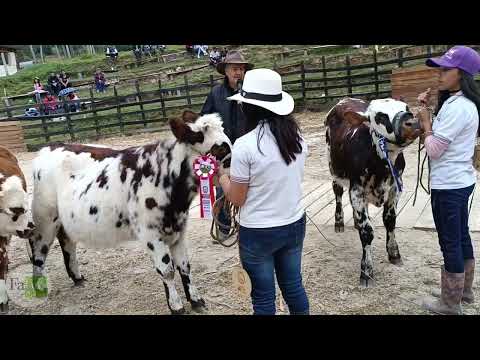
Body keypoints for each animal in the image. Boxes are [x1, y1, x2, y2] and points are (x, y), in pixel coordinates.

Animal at [28, 111, 232, 314]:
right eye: (220, 150)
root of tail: (49, 147)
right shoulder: (149, 233)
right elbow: (167, 270)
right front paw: (176, 305)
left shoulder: (179, 230)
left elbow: (185, 266)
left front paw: (196, 299)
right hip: (45, 218)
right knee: (38, 249)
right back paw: (39, 287)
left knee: (67, 241)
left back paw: (77, 277)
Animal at [326, 97, 420, 286]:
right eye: (380, 116)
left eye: (407, 108)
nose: (411, 122)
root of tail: (346, 99)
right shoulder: (356, 190)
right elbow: (367, 232)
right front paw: (366, 271)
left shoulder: (395, 187)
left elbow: (390, 221)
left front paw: (394, 253)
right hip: (334, 169)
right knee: (337, 192)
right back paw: (339, 222)